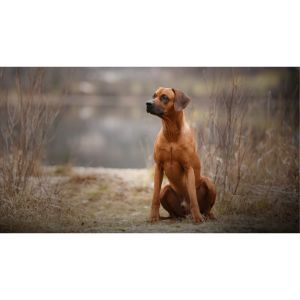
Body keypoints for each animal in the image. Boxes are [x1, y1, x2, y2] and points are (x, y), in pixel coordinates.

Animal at [145, 86, 216, 223]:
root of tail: (186, 212)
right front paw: (153, 216)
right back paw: (174, 218)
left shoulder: (188, 168)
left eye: (164, 97)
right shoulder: (158, 167)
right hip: (166, 189)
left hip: (209, 182)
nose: (148, 103)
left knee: (206, 208)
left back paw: (205, 215)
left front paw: (197, 218)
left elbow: (193, 198)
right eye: (154, 95)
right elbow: (155, 196)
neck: (171, 133)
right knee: (173, 212)